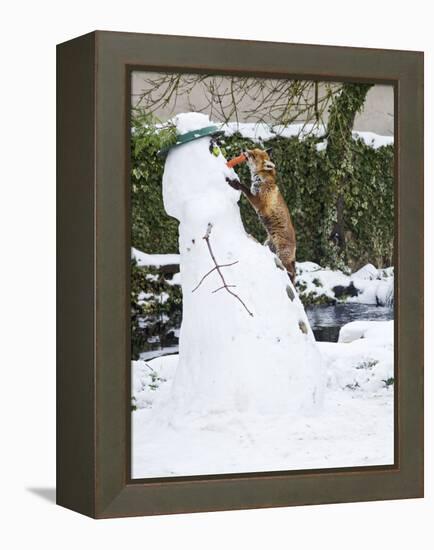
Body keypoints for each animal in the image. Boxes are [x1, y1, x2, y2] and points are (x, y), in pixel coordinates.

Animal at [227, 149, 294, 282]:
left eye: (253, 155)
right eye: (252, 149)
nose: (244, 150)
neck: (261, 180)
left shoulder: (259, 202)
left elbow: (245, 189)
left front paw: (235, 184)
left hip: (282, 256)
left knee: (290, 273)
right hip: (268, 246)